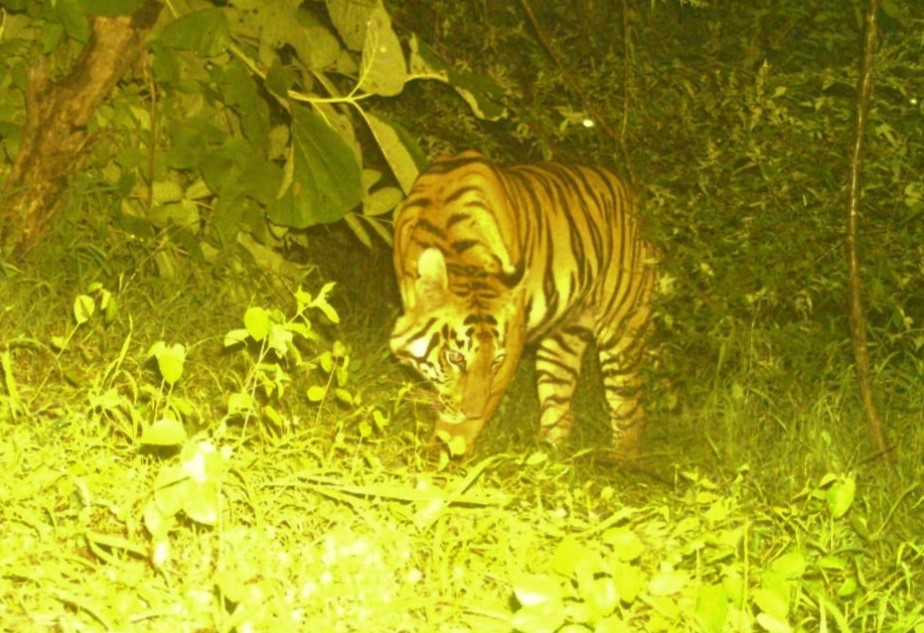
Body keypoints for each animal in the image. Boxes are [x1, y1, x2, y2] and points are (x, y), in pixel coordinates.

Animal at [390, 149, 656, 454]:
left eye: (496, 361)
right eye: (455, 357)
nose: (472, 413)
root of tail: (637, 201)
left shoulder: (513, 340)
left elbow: (460, 428)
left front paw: (445, 453)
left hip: (621, 332)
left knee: (631, 411)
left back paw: (619, 461)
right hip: (561, 343)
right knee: (561, 409)